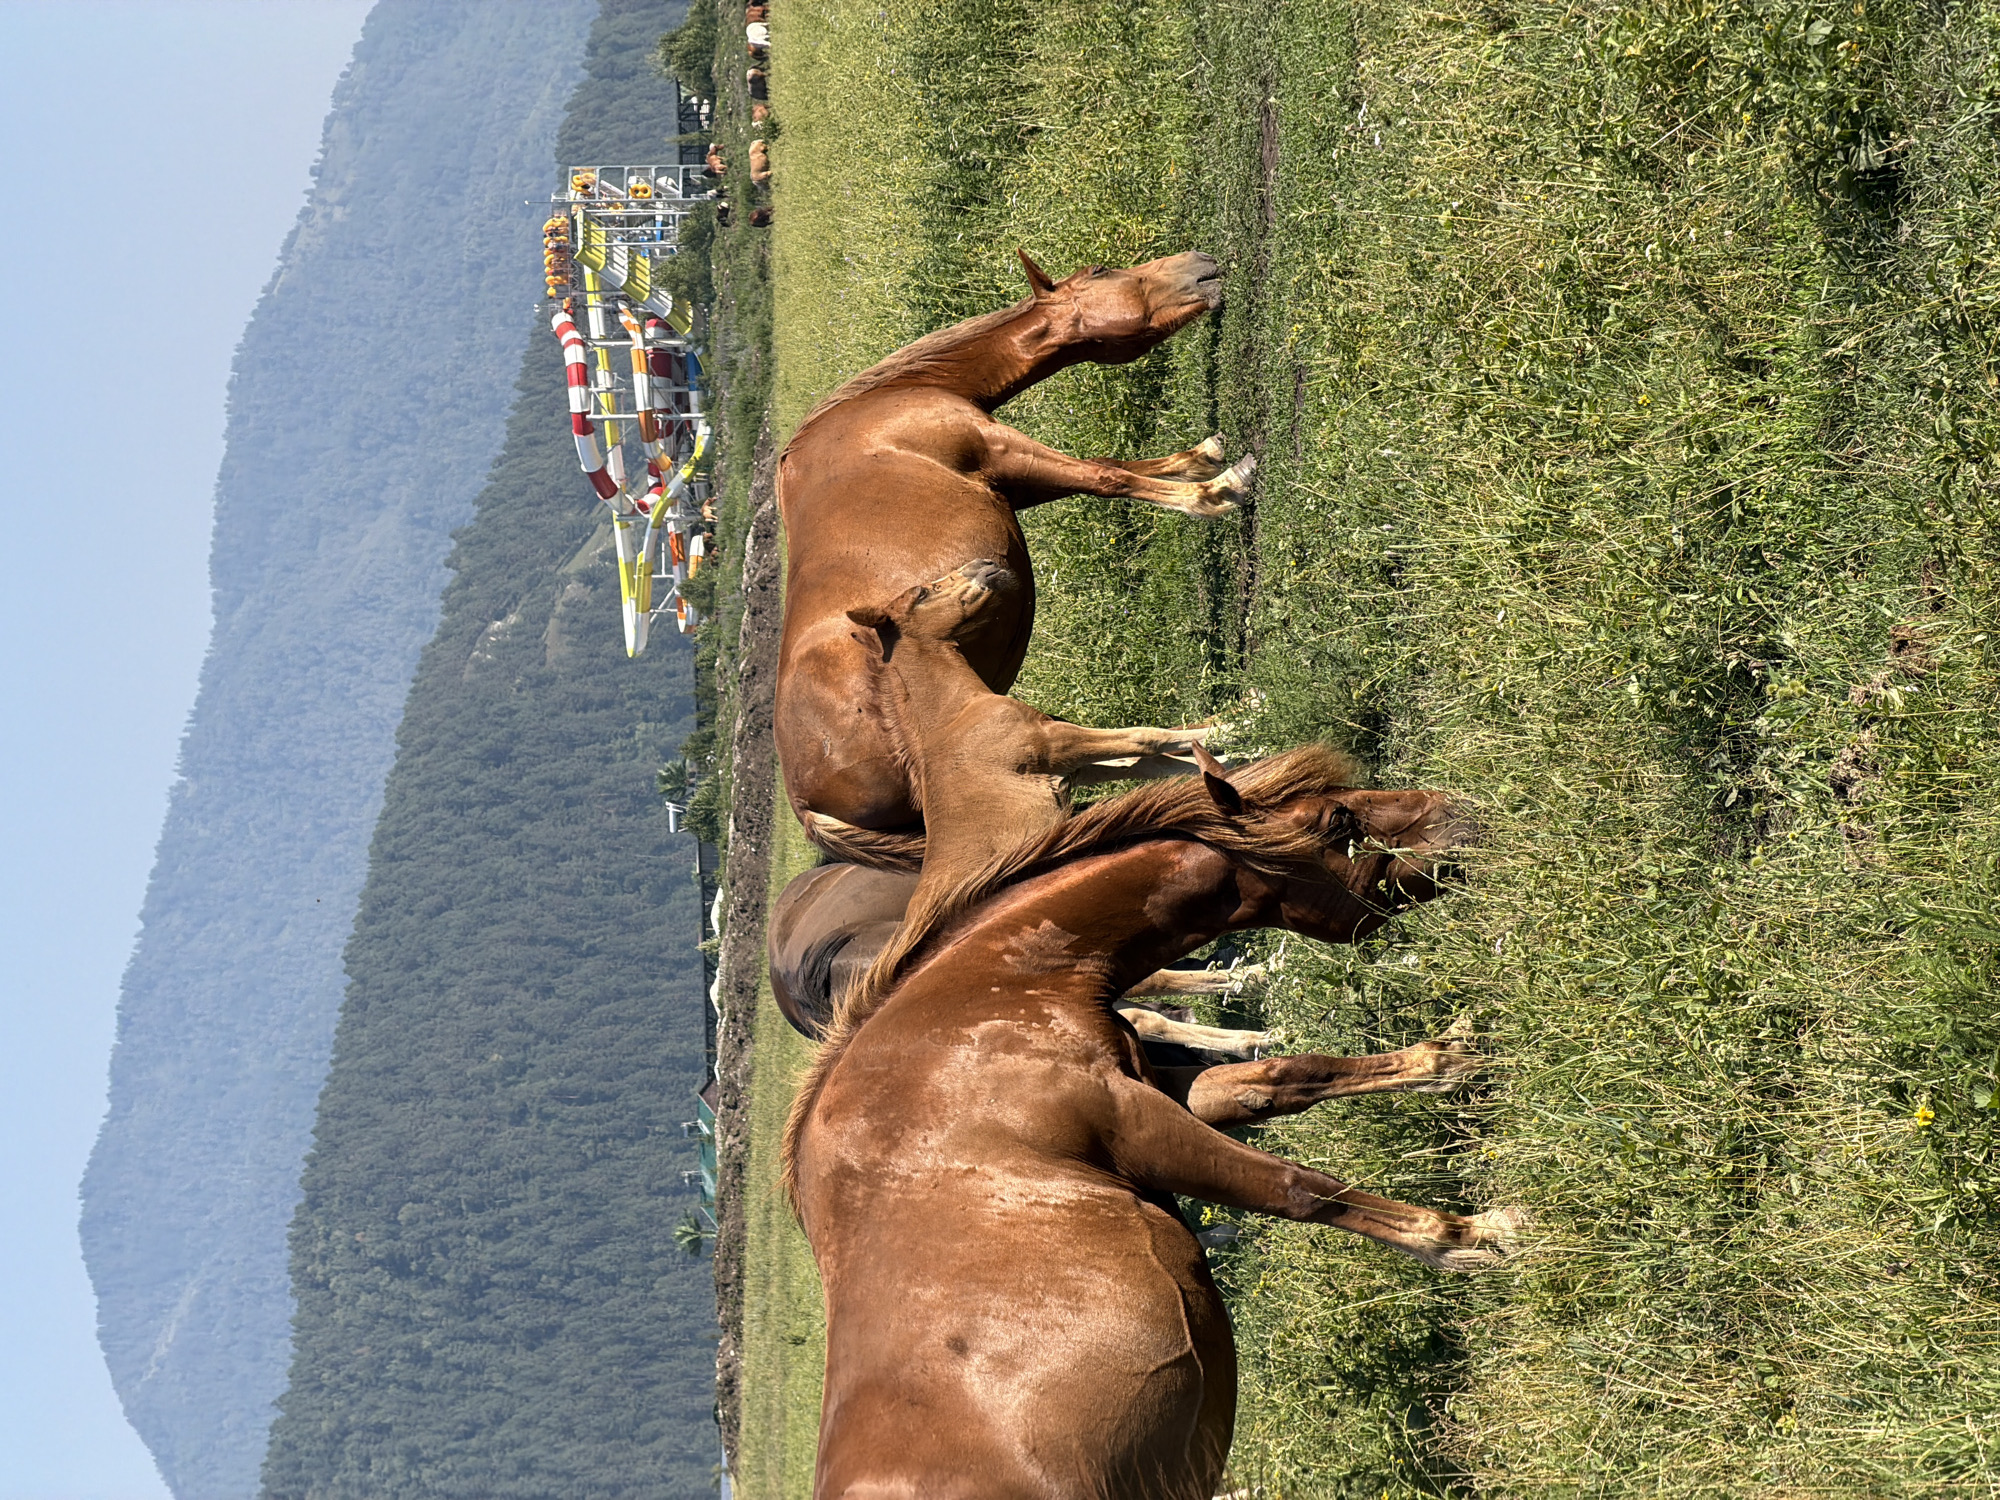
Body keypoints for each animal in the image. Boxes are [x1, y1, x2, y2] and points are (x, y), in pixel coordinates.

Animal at [775, 249, 1256, 873]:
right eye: (1100, 273)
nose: (1203, 263)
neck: (883, 406)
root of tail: (809, 806)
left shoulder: (1017, 482)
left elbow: (1111, 466)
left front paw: (1203, 457)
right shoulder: (998, 447)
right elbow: (1108, 477)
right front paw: (1218, 490)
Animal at [785, 745, 1516, 1499]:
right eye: (1338, 819)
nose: (1462, 812)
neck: (974, 1007)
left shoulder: (1161, 1082)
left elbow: (1281, 1079)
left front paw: (1455, 1057)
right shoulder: (1133, 1122)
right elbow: (1296, 1187)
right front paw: (1473, 1238)